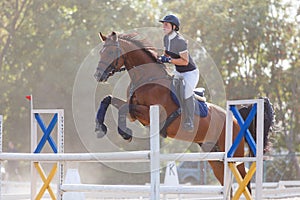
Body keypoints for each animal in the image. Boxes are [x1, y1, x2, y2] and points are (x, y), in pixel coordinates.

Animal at [94, 31, 274, 195]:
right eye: (101, 52)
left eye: (110, 52)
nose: (98, 75)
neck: (147, 79)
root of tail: (236, 120)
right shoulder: (135, 114)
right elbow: (108, 100)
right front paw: (100, 127)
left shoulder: (151, 115)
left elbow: (125, 108)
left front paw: (124, 133)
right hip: (213, 154)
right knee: (225, 182)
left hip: (233, 153)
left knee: (244, 180)